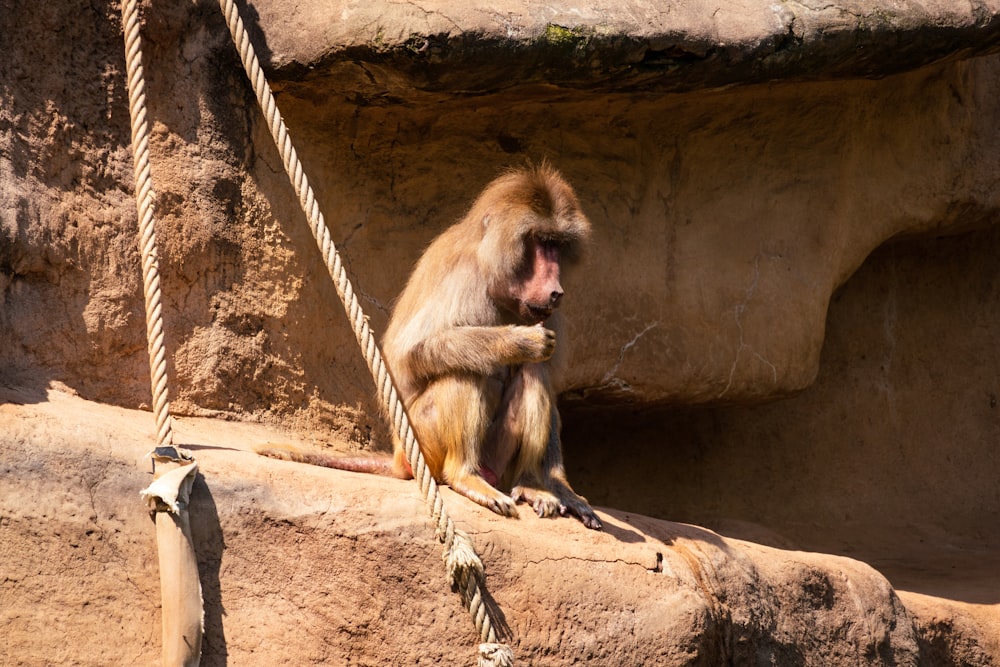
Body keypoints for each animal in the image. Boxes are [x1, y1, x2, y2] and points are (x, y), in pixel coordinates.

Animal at [260, 164, 600, 528]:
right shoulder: (463, 277)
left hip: (491, 460)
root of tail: (398, 455)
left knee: (532, 373)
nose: (556, 290)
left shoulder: (548, 314)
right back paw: (465, 476)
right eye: (541, 241)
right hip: (423, 442)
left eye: (558, 245)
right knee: (466, 368)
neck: (494, 274)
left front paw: (559, 488)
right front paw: (519, 341)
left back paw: (531, 485)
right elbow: (413, 350)